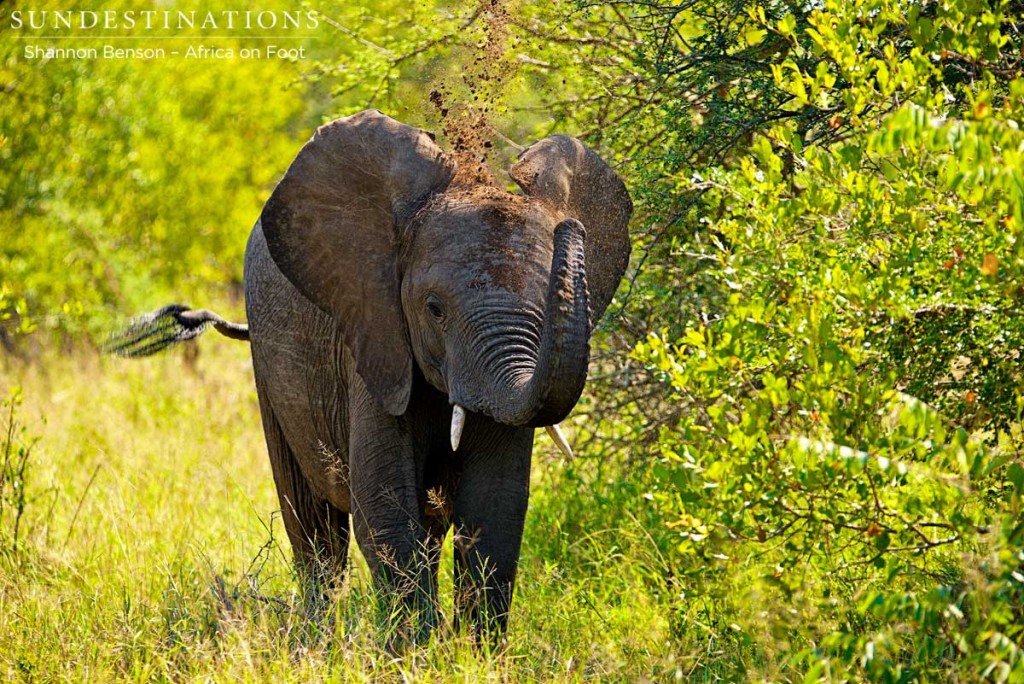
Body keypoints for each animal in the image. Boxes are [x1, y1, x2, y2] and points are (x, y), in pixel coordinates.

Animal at [108, 111, 626, 643]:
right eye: (434, 309)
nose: (569, 226)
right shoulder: (373, 336)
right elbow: (383, 506)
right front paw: (417, 653)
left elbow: (494, 510)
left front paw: (473, 653)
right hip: (269, 368)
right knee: (313, 528)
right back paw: (316, 640)